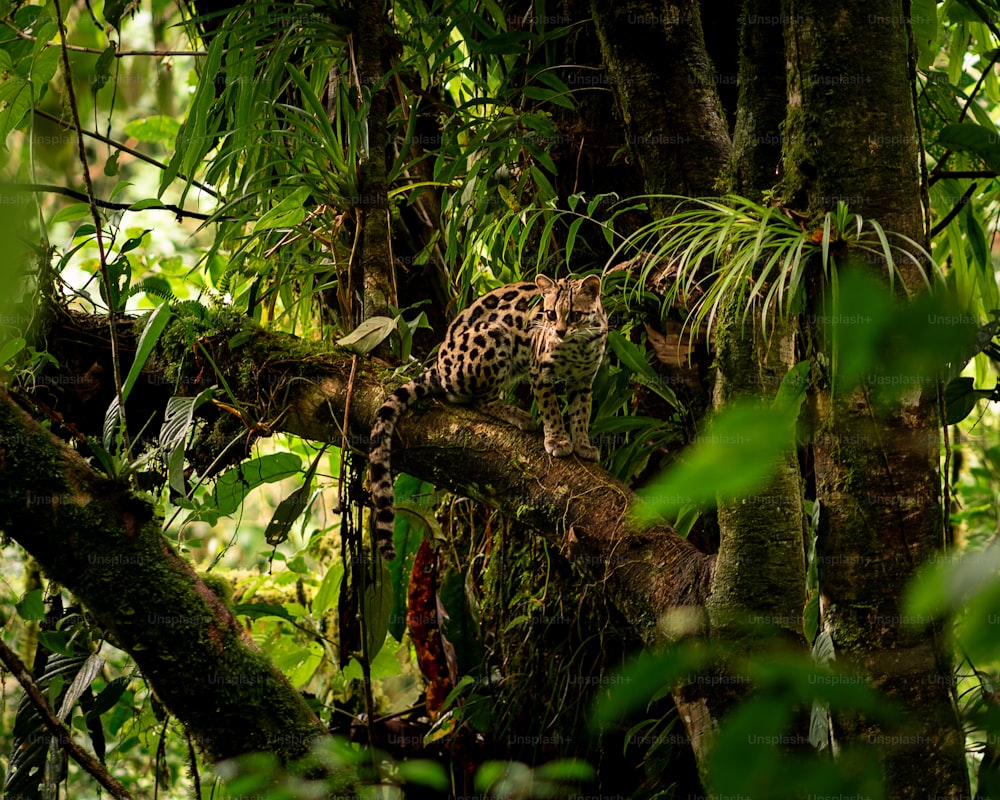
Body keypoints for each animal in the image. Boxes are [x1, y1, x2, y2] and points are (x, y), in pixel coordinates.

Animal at [366, 272, 600, 560]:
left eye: (575, 314)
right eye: (549, 314)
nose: (559, 332)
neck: (578, 346)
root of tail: (438, 364)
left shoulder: (584, 380)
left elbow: (581, 413)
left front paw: (583, 444)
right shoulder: (540, 370)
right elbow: (551, 409)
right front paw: (557, 440)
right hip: (495, 335)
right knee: (477, 399)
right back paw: (518, 415)